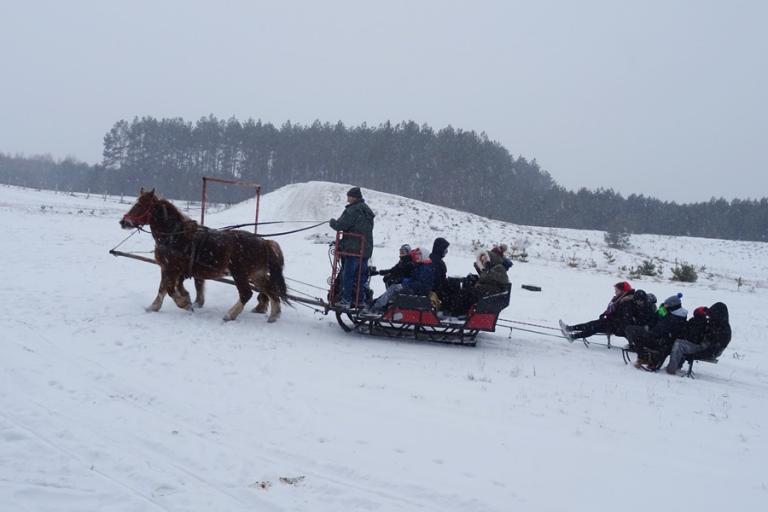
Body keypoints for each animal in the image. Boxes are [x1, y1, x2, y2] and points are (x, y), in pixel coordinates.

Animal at [120, 188, 288, 322]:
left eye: (140, 205)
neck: (174, 235)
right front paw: (154, 307)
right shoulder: (167, 268)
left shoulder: (171, 268)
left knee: (246, 293)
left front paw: (185, 304)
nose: (123, 222)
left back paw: (230, 315)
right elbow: (163, 288)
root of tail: (264, 242)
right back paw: (274, 315)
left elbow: (169, 289)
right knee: (271, 290)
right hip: (256, 274)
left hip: (240, 273)